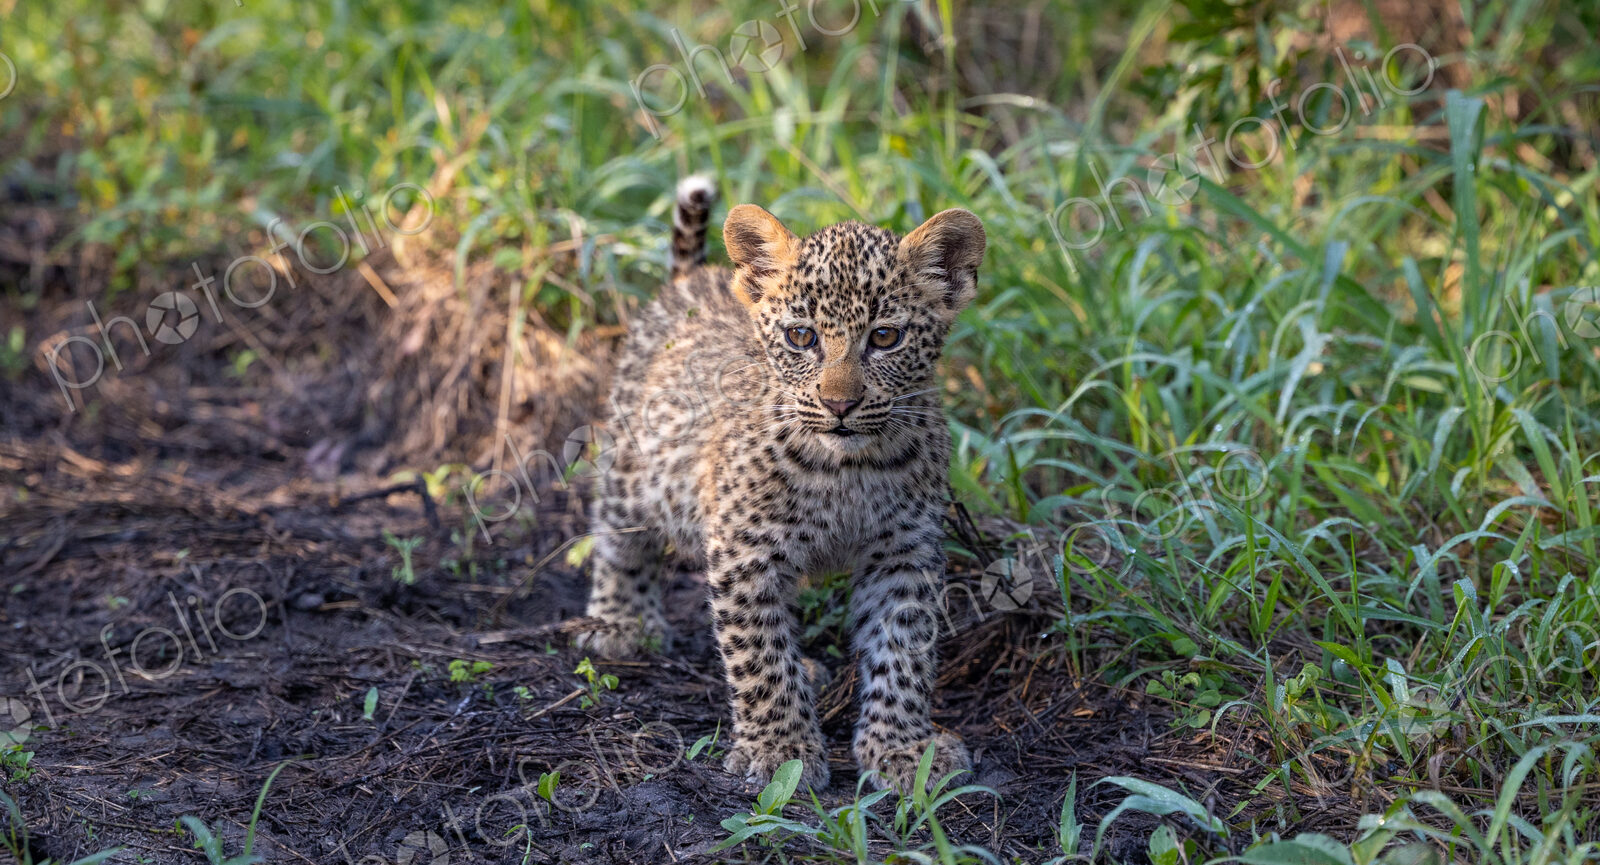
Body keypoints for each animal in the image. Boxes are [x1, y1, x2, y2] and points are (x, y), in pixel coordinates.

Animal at [576, 175, 985, 795]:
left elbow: (903, 651)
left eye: (885, 337)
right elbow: (758, 655)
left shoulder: (904, 552)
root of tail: (689, 279)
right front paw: (780, 750)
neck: (847, 471)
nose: (840, 404)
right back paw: (621, 621)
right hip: (633, 467)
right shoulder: (745, 551)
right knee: (619, 538)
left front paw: (904, 749)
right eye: (801, 336)